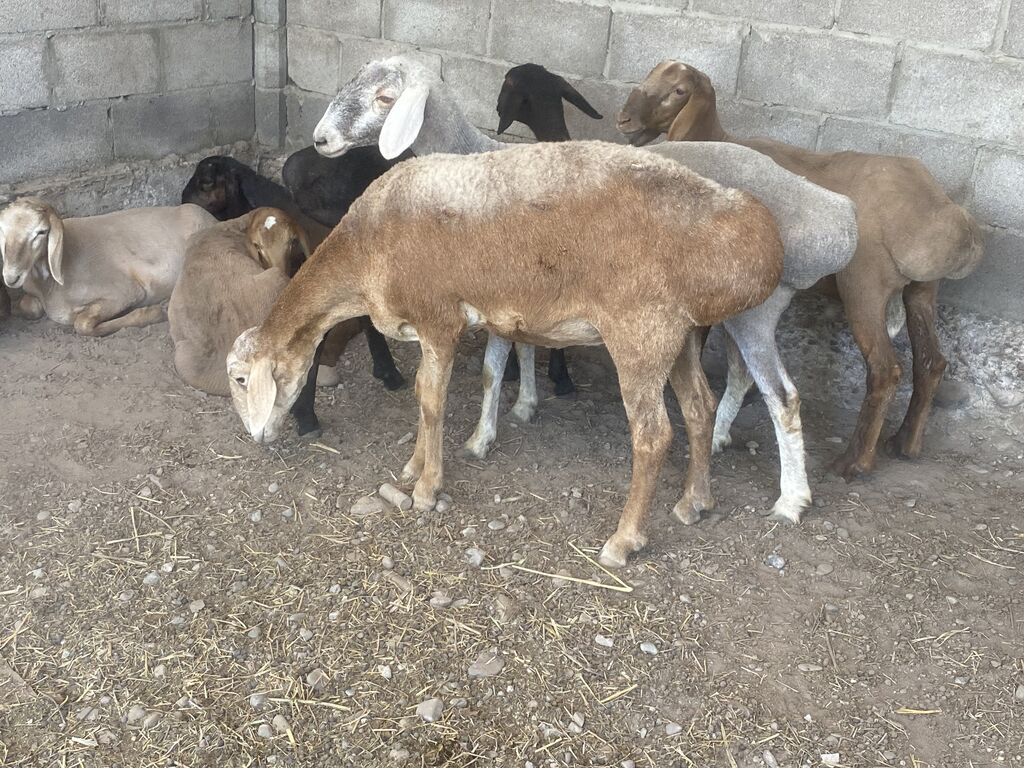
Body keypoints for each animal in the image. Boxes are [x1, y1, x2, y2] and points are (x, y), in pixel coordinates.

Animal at [0, 197, 216, 336]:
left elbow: (82, 324)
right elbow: (29, 307)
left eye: (41, 232)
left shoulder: (125, 292)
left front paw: (153, 313)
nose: (11, 277)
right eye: (2, 230)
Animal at [225, 141, 785, 567]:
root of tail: (754, 237)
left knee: (653, 437)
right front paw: (413, 467)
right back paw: (695, 502)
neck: (364, 257)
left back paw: (623, 542)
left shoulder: (439, 319)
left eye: (239, 379)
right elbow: (425, 401)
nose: (257, 438)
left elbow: (431, 401)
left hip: (641, 333)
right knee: (700, 409)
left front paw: (426, 489)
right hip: (682, 333)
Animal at [312, 55, 578, 447]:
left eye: (385, 98)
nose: (320, 138)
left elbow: (492, 368)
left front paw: (481, 438)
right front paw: (525, 405)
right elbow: (524, 346)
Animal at [618, 61, 984, 479]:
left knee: (885, 370)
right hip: (922, 290)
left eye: (679, 91)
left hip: (865, 286)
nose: (624, 120)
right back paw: (905, 444)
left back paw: (854, 462)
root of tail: (945, 216)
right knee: (931, 362)